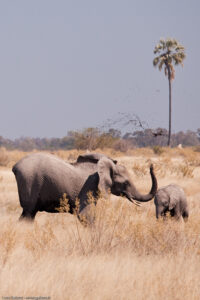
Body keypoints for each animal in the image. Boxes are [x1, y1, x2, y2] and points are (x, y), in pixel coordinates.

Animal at [12, 152, 158, 220]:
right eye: (126, 183)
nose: (151, 165)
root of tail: (15, 166)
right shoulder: (89, 188)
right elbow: (85, 216)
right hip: (30, 182)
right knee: (28, 213)